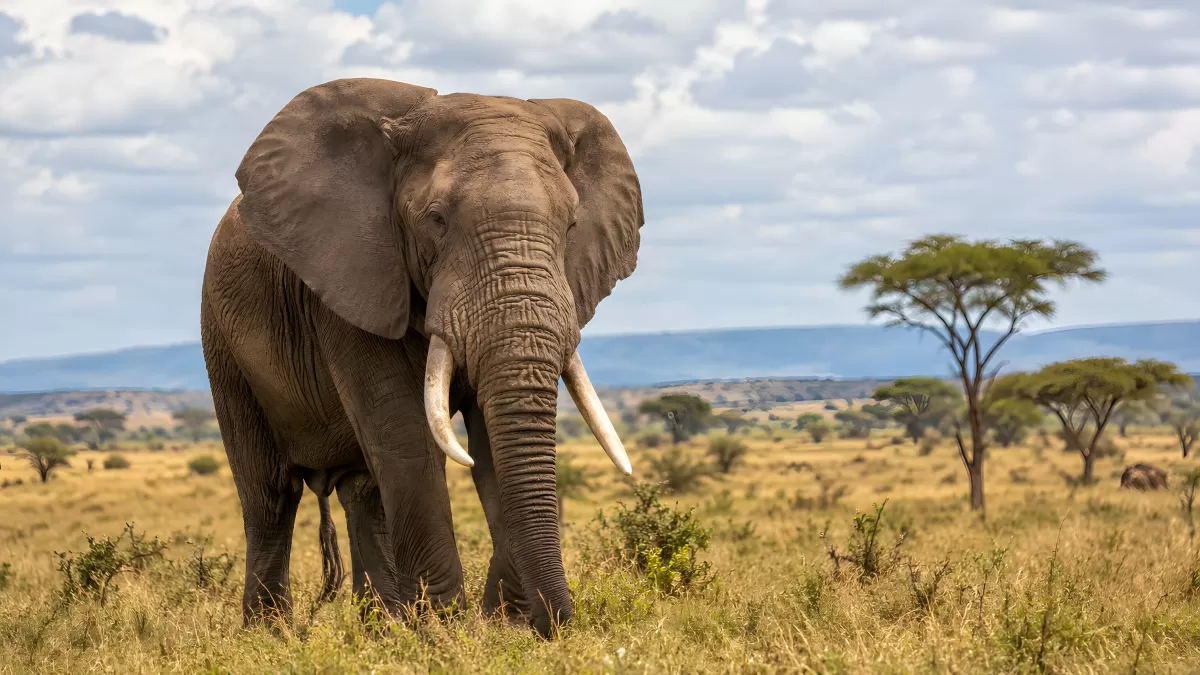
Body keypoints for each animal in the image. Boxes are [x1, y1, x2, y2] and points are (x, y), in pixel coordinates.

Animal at [199, 77, 642, 638]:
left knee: (363, 492)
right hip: (221, 338)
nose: (558, 626)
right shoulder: (353, 280)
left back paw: (381, 630)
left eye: (571, 224)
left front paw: (499, 628)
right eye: (435, 219)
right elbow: (409, 439)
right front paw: (444, 633)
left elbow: (489, 446)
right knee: (271, 496)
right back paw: (270, 635)